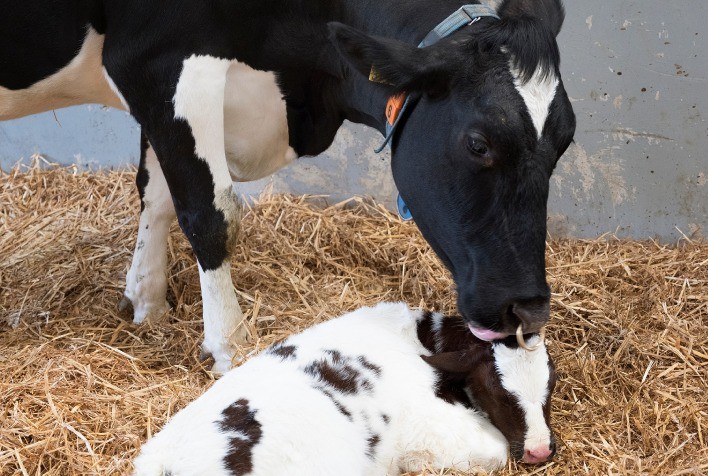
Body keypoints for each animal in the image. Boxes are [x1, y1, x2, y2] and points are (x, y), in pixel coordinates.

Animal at [0, 0, 576, 372]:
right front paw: (230, 347)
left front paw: (147, 304)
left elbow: (157, 196)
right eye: (479, 143)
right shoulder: (161, 61)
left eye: (566, 139)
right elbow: (210, 214)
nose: (529, 311)